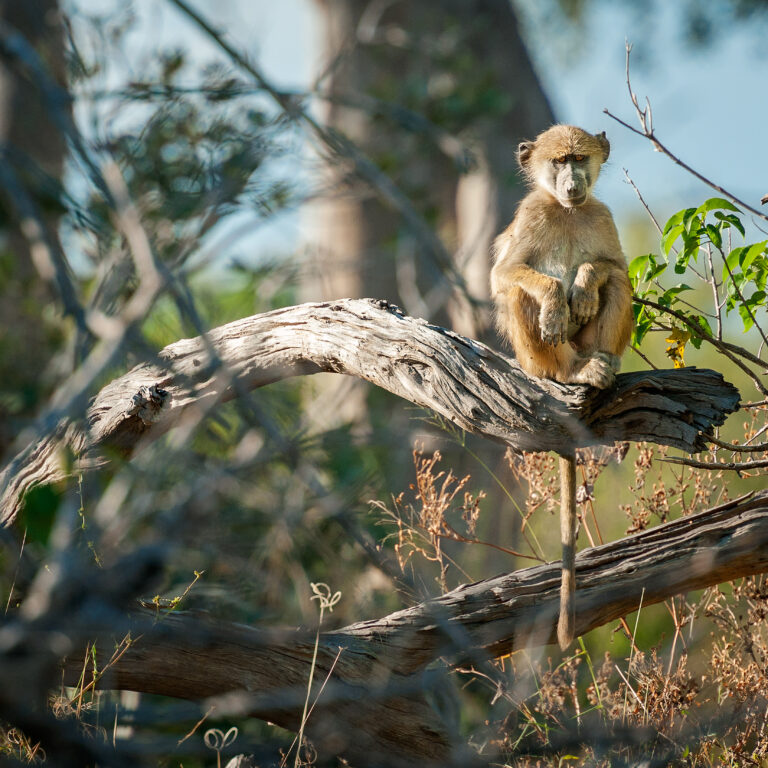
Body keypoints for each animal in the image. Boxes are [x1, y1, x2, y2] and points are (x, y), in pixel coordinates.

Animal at [490, 125, 633, 650]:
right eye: (557, 162)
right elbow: (504, 276)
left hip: (592, 343)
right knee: (519, 293)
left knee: (618, 286)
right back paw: (571, 375)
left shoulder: (601, 214)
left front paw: (585, 284)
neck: (568, 211)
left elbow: (614, 268)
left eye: (579, 159)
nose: (573, 184)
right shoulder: (532, 213)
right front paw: (556, 304)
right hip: (538, 360)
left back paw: (602, 367)